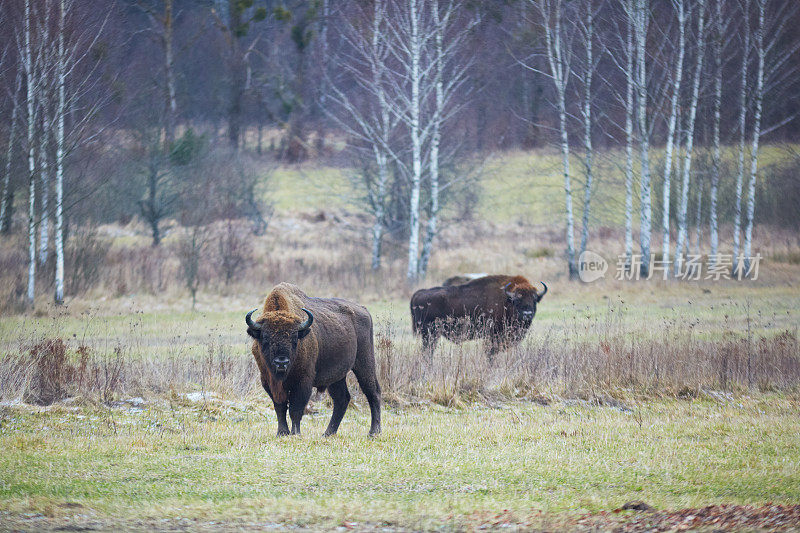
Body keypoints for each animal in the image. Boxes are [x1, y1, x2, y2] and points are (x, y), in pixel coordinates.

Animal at [244, 282, 382, 436]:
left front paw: (295, 433)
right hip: (336, 377)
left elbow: (295, 409)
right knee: (342, 399)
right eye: (266, 338)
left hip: (364, 362)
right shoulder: (268, 382)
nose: (281, 362)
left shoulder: (303, 382)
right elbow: (280, 408)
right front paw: (282, 432)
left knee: (373, 392)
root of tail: (364, 310)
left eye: (294, 339)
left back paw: (374, 432)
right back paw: (328, 433)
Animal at [410, 274, 548, 358]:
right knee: (427, 351)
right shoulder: (493, 336)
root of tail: (418, 293)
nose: (527, 314)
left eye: (534, 300)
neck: (506, 299)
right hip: (429, 334)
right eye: (517, 300)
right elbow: (490, 353)